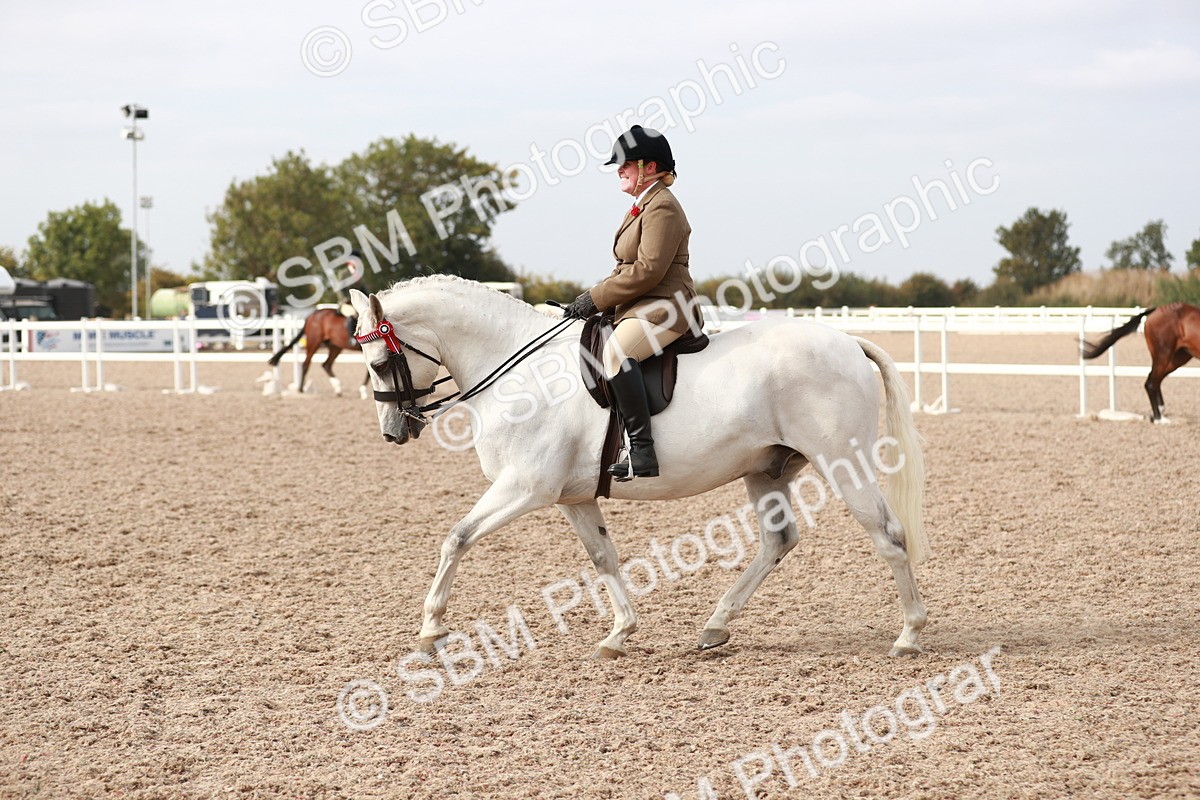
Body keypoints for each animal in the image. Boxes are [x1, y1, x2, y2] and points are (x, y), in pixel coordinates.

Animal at [348, 276, 930, 660]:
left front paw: (431, 629)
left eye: (377, 363)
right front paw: (618, 633)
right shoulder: (573, 497)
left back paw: (908, 634)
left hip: (843, 462)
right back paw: (715, 627)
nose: (393, 431)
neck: (518, 372)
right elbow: (603, 556)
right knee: (778, 541)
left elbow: (457, 537)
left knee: (888, 535)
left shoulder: (526, 487)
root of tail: (848, 341)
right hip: (766, 471)